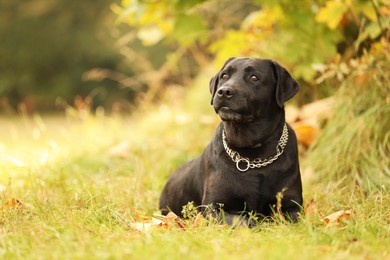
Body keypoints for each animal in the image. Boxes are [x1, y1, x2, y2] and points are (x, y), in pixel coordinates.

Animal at [158, 58, 302, 224]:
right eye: (224, 76)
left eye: (254, 77)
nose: (224, 92)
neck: (254, 155)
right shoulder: (213, 207)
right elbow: (241, 221)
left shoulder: (293, 205)